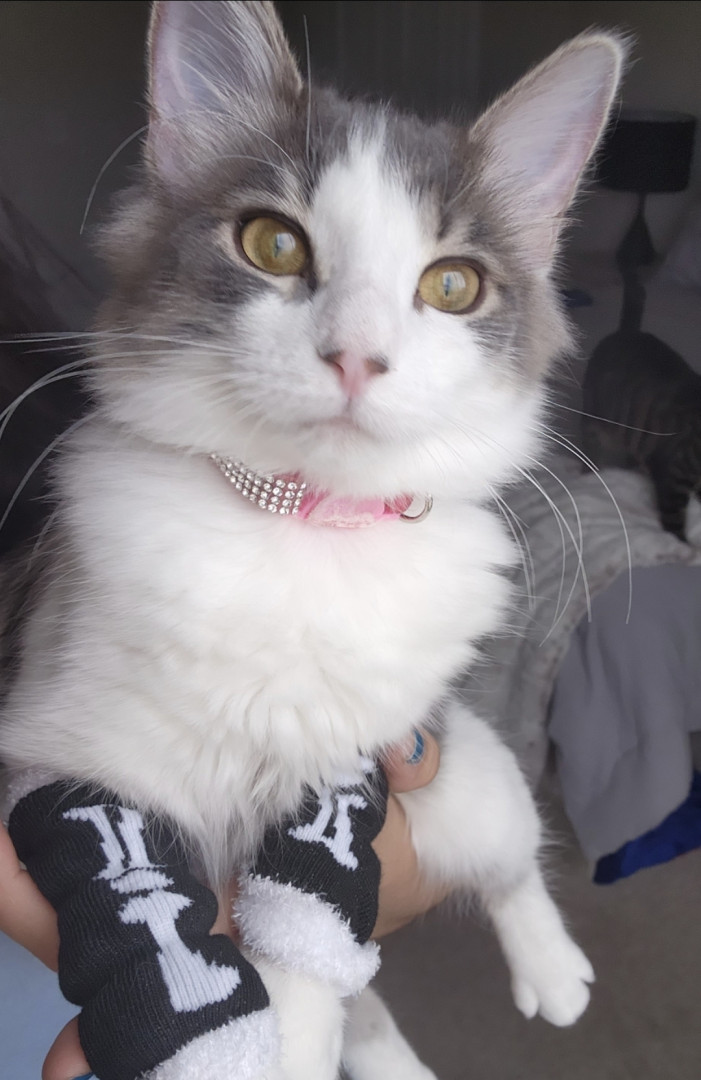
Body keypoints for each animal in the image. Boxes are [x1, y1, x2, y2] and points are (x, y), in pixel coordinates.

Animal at [0, 3, 624, 1078]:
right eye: (273, 244)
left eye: (452, 286)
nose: (357, 356)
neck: (300, 526)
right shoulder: (69, 769)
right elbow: (150, 923)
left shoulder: (348, 770)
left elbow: (307, 933)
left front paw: (288, 1036)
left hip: (473, 783)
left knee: (507, 864)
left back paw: (552, 974)